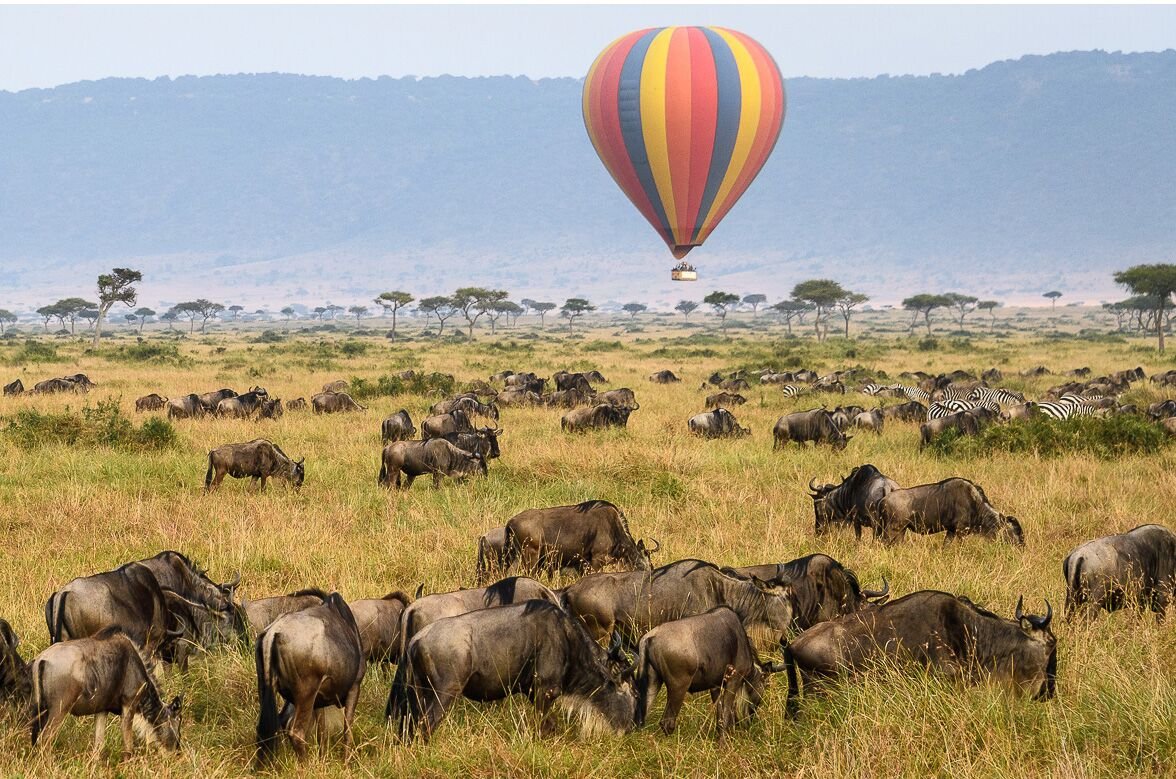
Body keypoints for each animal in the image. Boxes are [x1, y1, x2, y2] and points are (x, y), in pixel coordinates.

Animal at [29, 630, 182, 757]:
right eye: (177, 722)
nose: (177, 751)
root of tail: (42, 659)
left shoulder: (102, 710)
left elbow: (99, 745)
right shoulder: (129, 706)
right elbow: (128, 746)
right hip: (59, 710)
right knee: (45, 739)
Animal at [255, 595, 364, 767]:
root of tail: (274, 631)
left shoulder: (319, 700)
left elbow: (322, 731)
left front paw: (323, 760)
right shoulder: (354, 687)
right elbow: (347, 730)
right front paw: (346, 764)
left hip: (267, 689)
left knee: (266, 730)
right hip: (305, 695)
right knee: (296, 732)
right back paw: (305, 767)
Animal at [639, 607, 794, 743]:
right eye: (765, 686)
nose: (749, 720)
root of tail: (650, 638)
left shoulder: (715, 686)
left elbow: (719, 715)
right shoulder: (733, 680)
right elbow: (725, 714)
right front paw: (724, 744)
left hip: (653, 683)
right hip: (678, 687)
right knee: (667, 722)